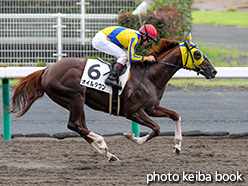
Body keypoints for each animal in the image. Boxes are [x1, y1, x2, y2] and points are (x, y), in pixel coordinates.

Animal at [11, 34, 217, 161]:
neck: (150, 76)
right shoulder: (133, 112)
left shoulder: (151, 108)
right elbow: (157, 129)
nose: (213, 71)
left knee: (80, 127)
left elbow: (175, 115)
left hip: (78, 102)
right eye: (197, 54)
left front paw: (177, 147)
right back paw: (103, 143)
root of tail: (47, 70)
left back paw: (108, 154)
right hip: (74, 98)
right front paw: (132, 137)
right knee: (75, 125)